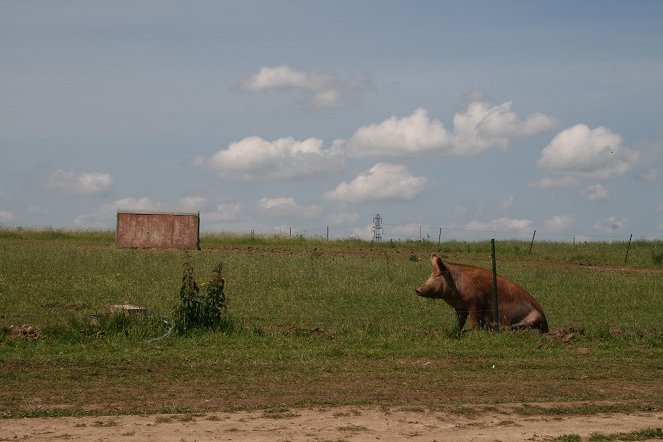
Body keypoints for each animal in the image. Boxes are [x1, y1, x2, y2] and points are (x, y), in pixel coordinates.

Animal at [416, 252, 548, 332]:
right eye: (431, 274)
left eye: (437, 275)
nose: (417, 290)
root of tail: (546, 323)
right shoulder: (460, 308)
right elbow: (460, 321)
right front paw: (455, 330)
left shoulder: (476, 303)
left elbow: (475, 320)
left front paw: (473, 331)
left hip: (532, 320)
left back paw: (493, 326)